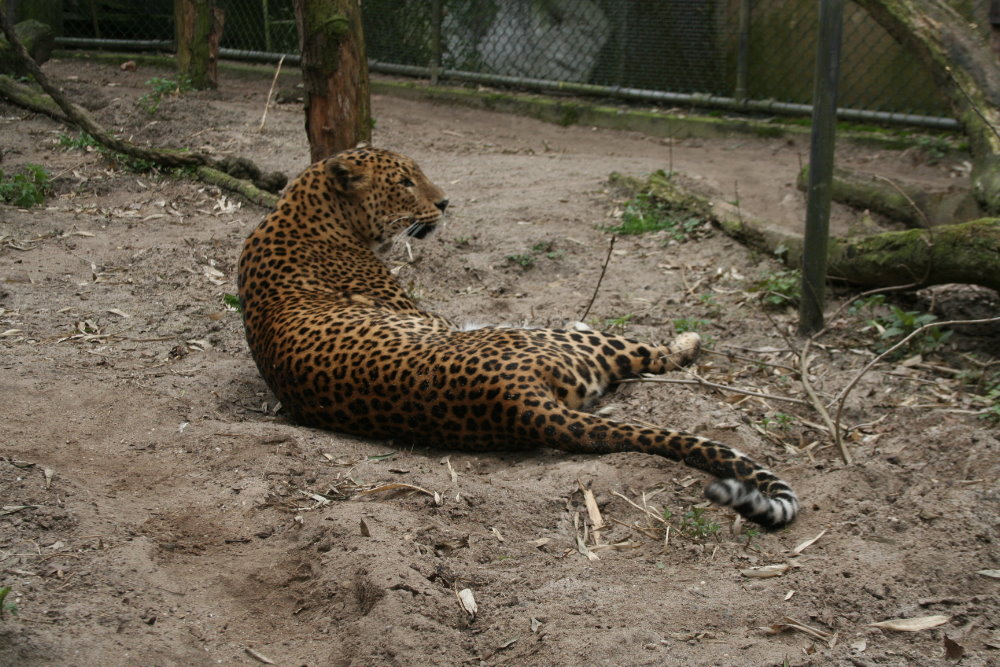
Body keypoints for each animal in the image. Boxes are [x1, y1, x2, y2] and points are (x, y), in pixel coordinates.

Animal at [237, 147, 799, 529]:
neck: (306, 207)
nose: (445, 202)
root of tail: (514, 399)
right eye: (404, 182)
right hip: (571, 345)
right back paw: (683, 339)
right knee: (646, 353)